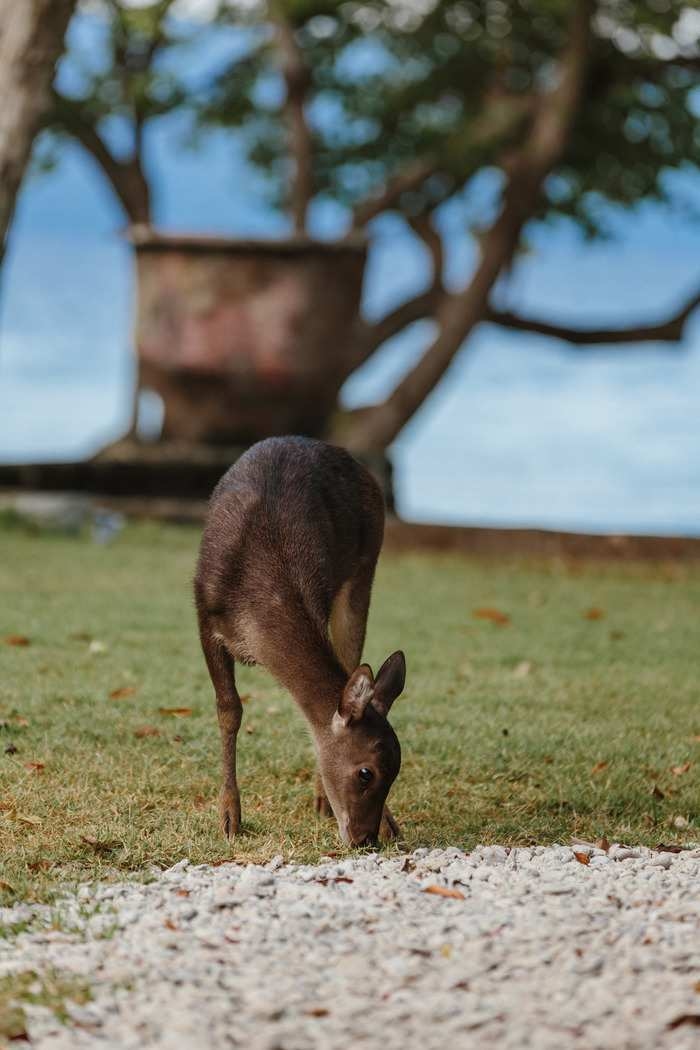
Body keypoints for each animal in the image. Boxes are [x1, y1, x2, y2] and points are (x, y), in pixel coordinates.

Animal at [194, 436, 406, 847]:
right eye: (366, 772)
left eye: (396, 773)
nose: (365, 839)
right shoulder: (203, 610)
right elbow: (229, 709)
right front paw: (229, 817)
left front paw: (391, 822)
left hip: (364, 568)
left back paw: (323, 801)